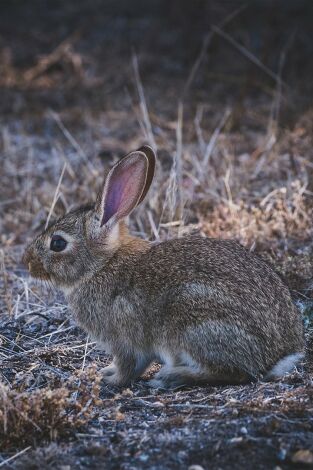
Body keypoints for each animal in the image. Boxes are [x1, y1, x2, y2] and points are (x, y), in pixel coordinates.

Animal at [22, 147, 304, 390]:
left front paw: (110, 380)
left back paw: (171, 376)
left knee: (235, 372)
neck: (102, 265)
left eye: (58, 243)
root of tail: (275, 356)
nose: (27, 262)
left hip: (191, 320)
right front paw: (105, 372)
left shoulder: (124, 339)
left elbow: (128, 367)